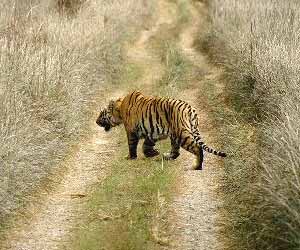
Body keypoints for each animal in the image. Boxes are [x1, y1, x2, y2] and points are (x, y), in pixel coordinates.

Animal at [95, 91, 225, 171]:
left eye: (101, 114)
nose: (96, 122)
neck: (120, 109)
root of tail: (190, 108)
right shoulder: (152, 133)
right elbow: (145, 146)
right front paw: (153, 153)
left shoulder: (131, 132)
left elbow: (132, 145)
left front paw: (130, 157)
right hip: (175, 135)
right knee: (176, 152)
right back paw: (165, 157)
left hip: (181, 134)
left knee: (197, 148)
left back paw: (196, 166)